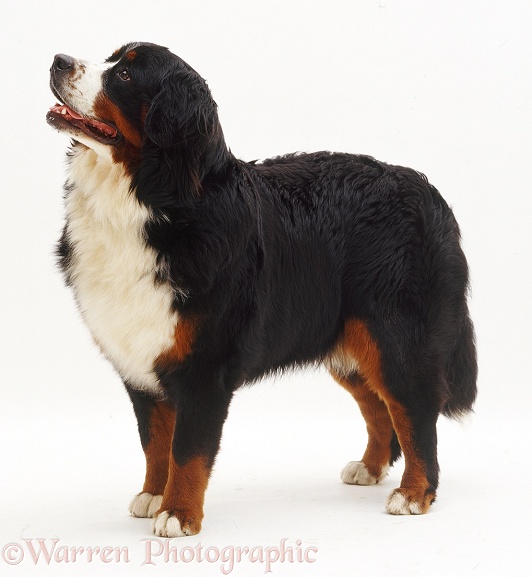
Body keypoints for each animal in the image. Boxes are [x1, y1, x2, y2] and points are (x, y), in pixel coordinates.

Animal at [46, 40, 478, 536]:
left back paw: (414, 493)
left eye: (126, 75)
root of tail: (430, 194)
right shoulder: (140, 362)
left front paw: (178, 513)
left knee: (416, 412)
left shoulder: (204, 367)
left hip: (397, 338)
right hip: (349, 339)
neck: (149, 200)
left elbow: (187, 450)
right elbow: (155, 442)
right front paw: (154, 495)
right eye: (112, 58)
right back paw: (369, 467)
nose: (58, 61)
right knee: (380, 408)